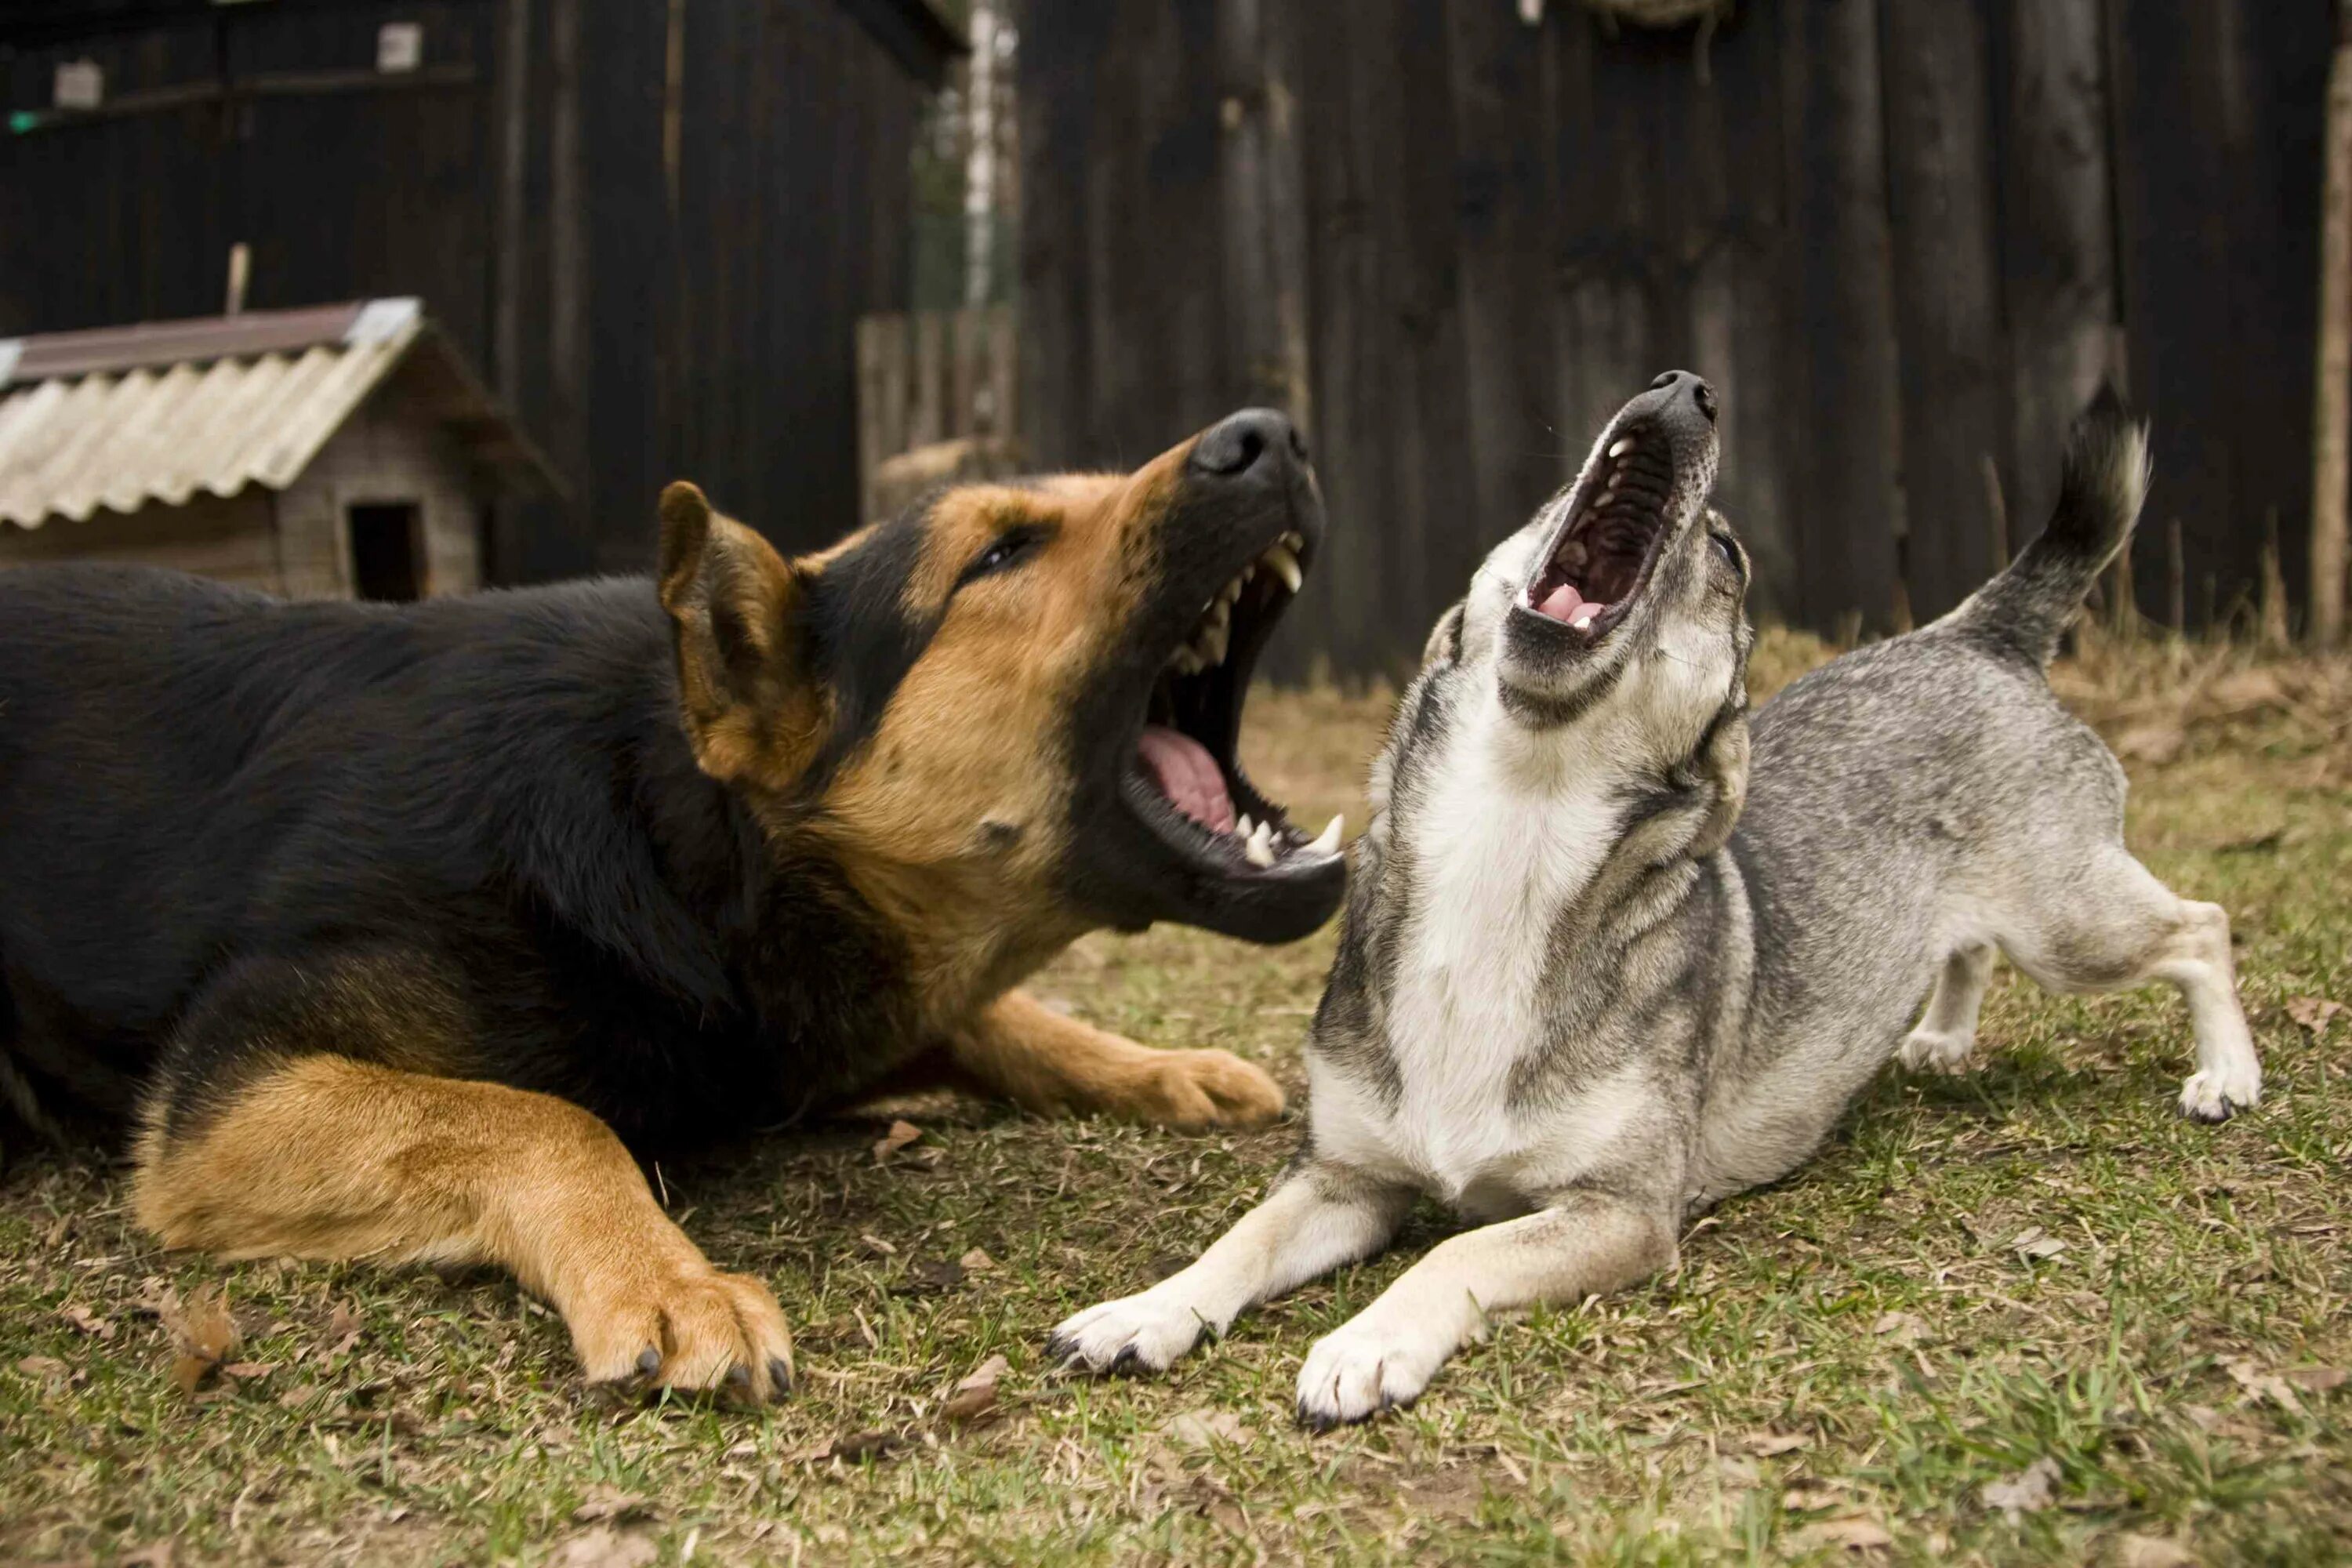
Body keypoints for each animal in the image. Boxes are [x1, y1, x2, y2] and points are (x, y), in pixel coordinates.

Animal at [0, 411, 1355, 1401]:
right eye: (1001, 554)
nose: (1275, 432)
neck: (682, 840)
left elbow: (1002, 1018)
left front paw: (1158, 1066)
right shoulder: (226, 1092)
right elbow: (545, 1122)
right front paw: (672, 1281)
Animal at [1054, 373, 2258, 1429]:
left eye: (1726, 557)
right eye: (1545, 500)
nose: (1688, 389)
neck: (1512, 835)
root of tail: (1974, 635)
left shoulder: (1619, 1215)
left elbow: (1456, 1247)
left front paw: (1368, 1341)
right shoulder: (1343, 1180)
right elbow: (1241, 1241)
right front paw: (1146, 1312)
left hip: (2070, 928)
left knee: (2201, 928)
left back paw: (2227, 1075)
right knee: (1968, 948)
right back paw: (1940, 1038)